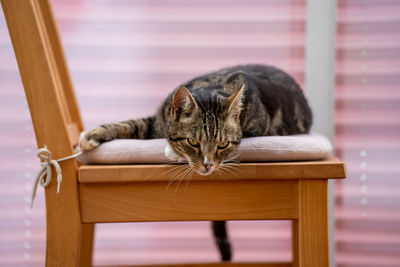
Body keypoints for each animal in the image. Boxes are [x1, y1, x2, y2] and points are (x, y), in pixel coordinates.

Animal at [78, 64, 312, 262]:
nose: (208, 165)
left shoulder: (256, 129)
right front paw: (93, 134)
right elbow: (130, 123)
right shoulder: (156, 121)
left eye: (223, 144)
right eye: (193, 141)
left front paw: (172, 152)